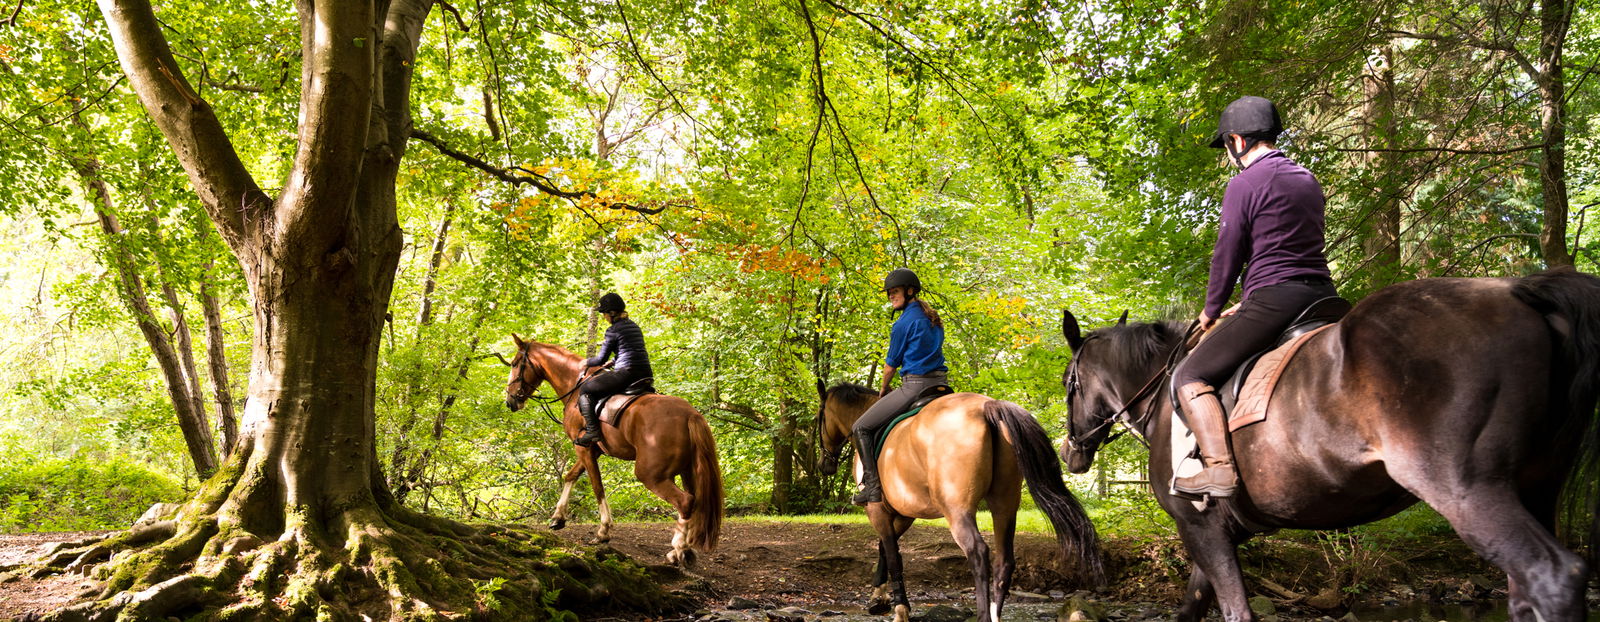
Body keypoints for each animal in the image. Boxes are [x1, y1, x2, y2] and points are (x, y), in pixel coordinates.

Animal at [501, 334, 723, 566]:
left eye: (515, 364)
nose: (510, 400)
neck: (576, 385)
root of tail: (690, 415)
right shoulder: (591, 449)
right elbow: (571, 476)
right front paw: (558, 518)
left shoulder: (583, 448)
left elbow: (597, 487)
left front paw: (603, 531)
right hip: (688, 471)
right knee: (695, 501)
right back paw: (685, 549)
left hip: (651, 474)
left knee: (685, 502)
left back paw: (678, 549)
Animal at [816, 382, 1103, 622]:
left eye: (819, 418)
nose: (824, 465)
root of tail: (987, 406)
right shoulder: (905, 512)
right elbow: (885, 548)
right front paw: (879, 597)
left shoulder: (878, 510)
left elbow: (892, 553)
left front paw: (898, 607)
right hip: (1005, 504)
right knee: (1004, 560)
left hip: (957, 510)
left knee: (978, 553)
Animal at [1059, 268, 1600, 622]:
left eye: (1069, 383)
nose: (1071, 452)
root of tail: (1518, 291)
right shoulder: (1215, 532)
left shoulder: (1199, 525)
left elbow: (1235, 611)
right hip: (1536, 487)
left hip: (1469, 490)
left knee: (1552, 575)